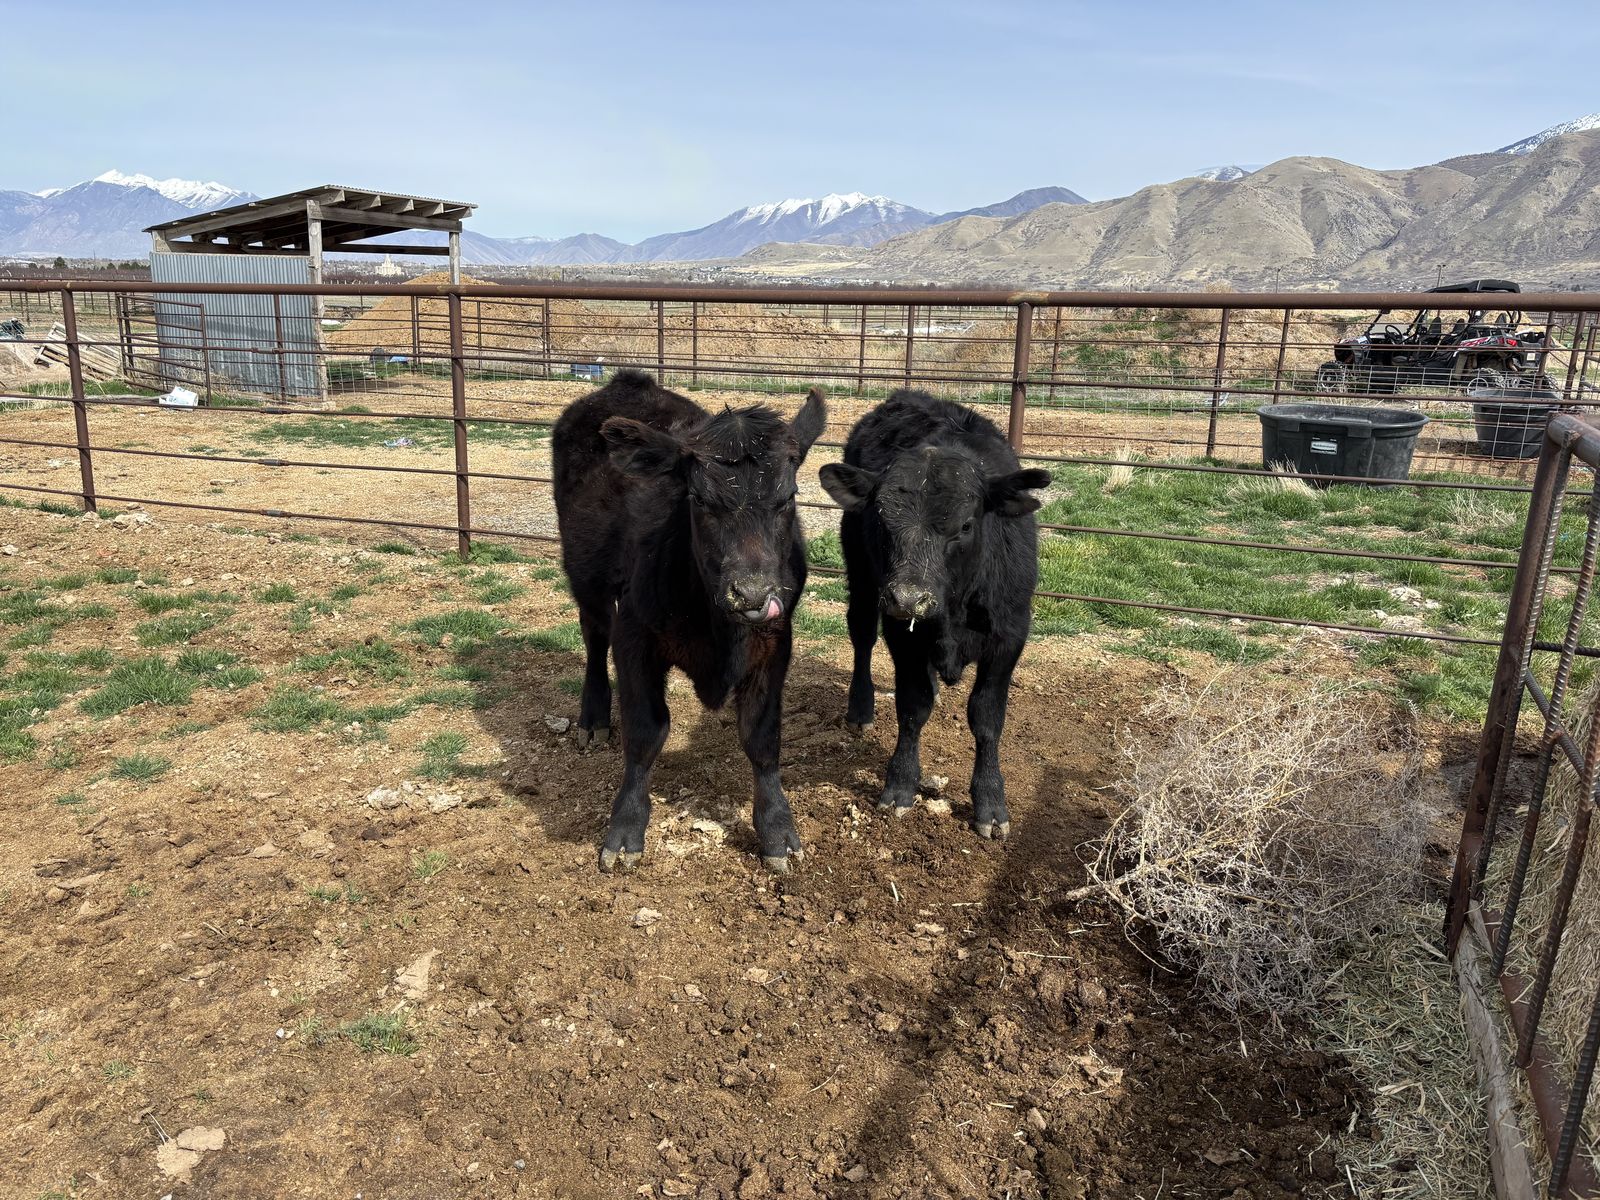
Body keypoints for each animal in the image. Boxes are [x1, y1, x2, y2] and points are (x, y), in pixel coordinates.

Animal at [551, 370, 826, 873]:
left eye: (788, 498)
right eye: (699, 499)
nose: (752, 593)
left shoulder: (777, 642)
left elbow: (762, 739)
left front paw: (778, 830)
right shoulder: (633, 634)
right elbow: (645, 733)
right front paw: (625, 829)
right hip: (585, 576)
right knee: (593, 637)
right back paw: (593, 717)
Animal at [818, 390, 1050, 841]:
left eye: (965, 525)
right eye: (881, 519)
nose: (909, 599)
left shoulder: (1010, 633)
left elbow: (987, 716)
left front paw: (990, 801)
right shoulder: (901, 633)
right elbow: (912, 705)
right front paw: (900, 784)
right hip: (862, 577)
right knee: (861, 636)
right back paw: (861, 708)